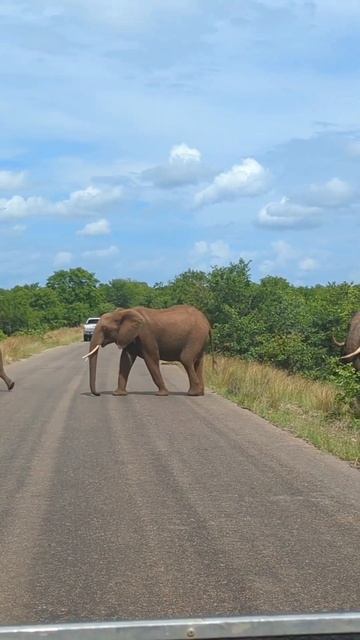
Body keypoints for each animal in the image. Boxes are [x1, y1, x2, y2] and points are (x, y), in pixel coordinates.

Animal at [83, 304, 212, 396]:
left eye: (105, 328)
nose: (98, 394)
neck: (124, 312)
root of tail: (207, 322)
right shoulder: (131, 336)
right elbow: (126, 359)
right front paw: (118, 394)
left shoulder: (146, 335)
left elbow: (151, 358)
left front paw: (162, 394)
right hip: (200, 339)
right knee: (198, 362)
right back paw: (200, 393)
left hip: (196, 336)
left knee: (186, 359)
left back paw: (193, 393)